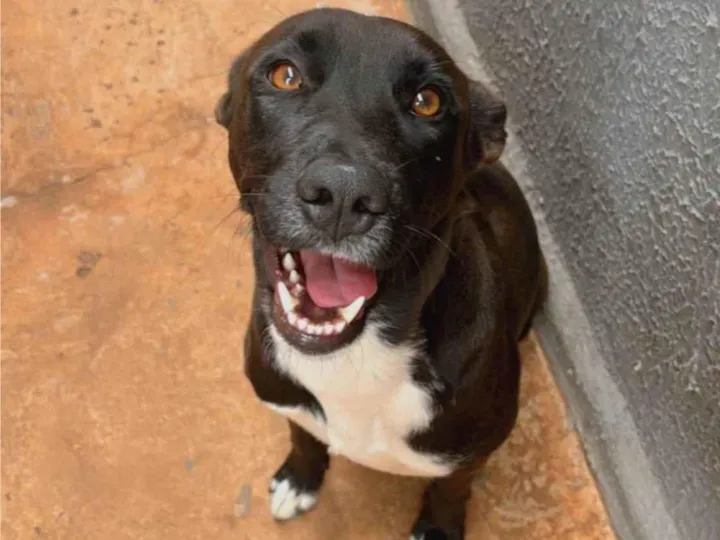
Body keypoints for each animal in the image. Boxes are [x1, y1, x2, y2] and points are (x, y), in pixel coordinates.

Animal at [215, 8, 547, 539]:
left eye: (428, 101)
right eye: (285, 75)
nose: (342, 195)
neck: (353, 360)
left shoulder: (472, 453)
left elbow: (450, 490)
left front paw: (437, 528)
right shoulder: (289, 403)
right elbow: (304, 435)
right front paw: (300, 477)